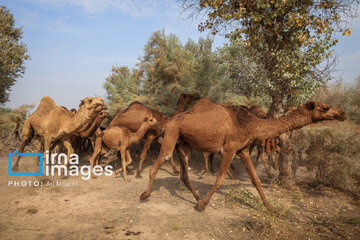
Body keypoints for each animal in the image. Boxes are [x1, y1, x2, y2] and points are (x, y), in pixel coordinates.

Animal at [140, 98, 346, 211]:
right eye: (324, 108)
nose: (342, 113)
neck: (251, 124)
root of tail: (170, 119)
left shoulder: (244, 150)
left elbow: (256, 179)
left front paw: (270, 207)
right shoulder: (230, 148)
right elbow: (220, 179)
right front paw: (203, 205)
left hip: (183, 144)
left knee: (184, 174)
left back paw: (197, 197)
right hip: (172, 134)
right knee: (159, 163)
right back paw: (145, 194)